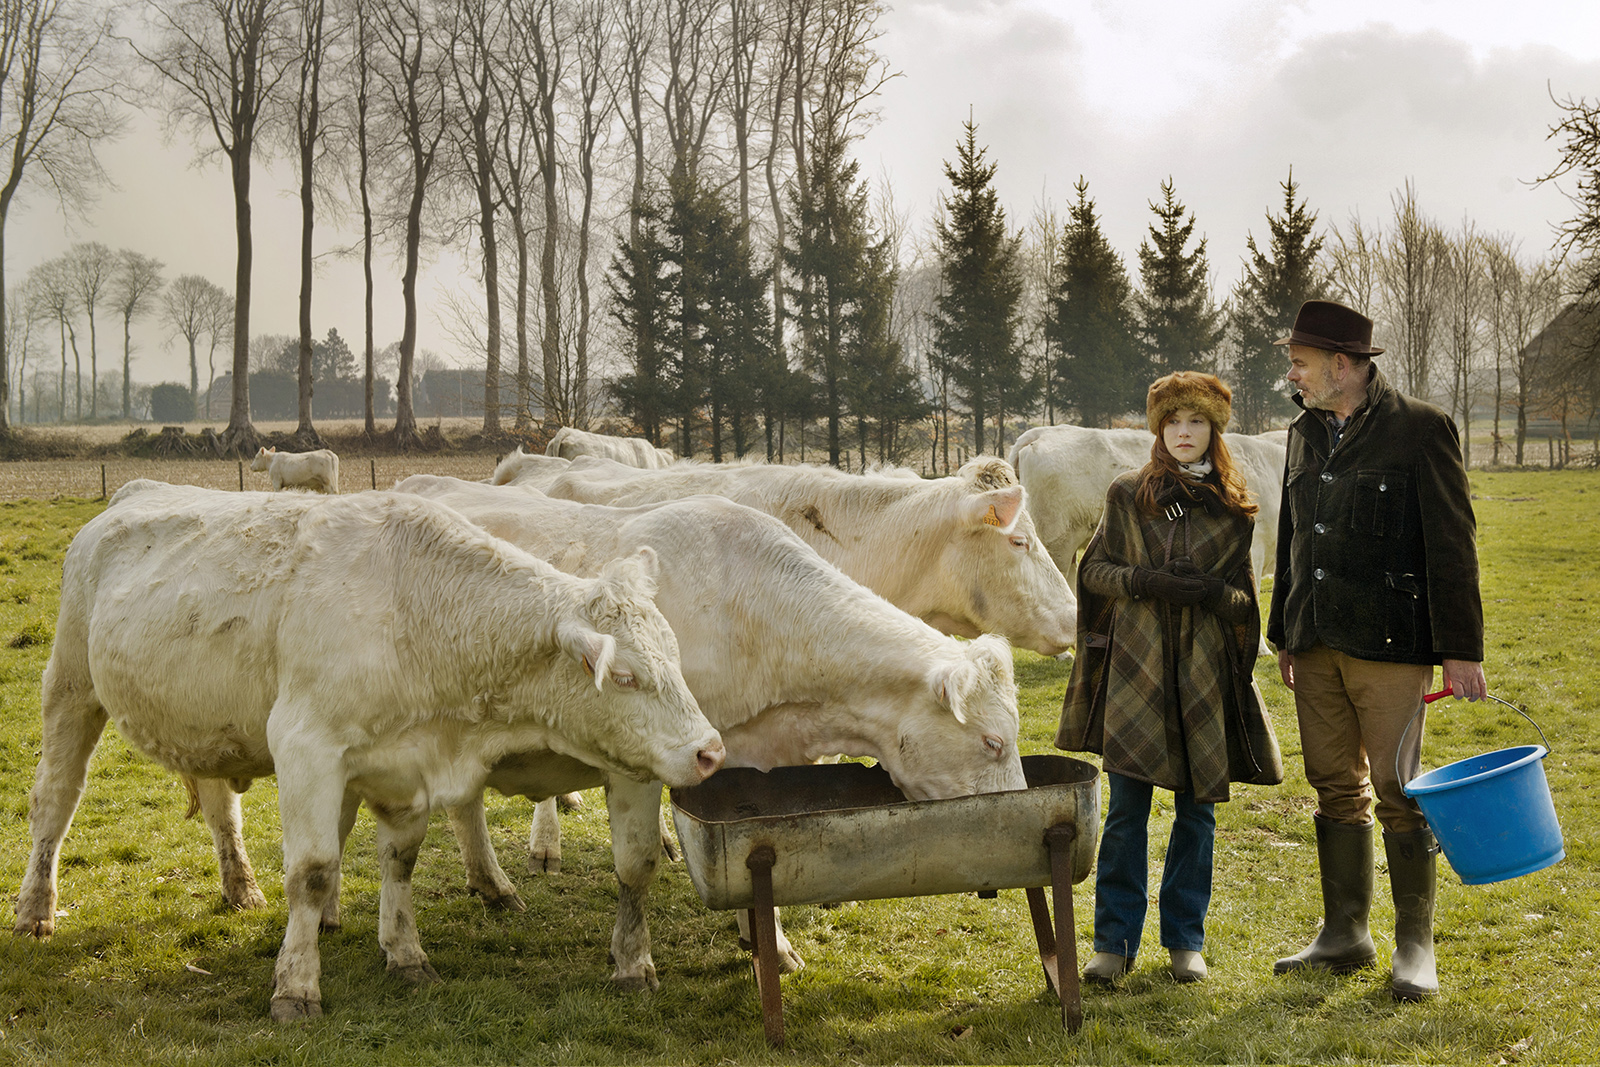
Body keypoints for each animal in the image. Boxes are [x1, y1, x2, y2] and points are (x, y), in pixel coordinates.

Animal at [10, 483, 726, 1017]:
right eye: (625, 676)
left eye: (674, 655)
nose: (709, 750)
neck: (418, 615)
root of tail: (134, 492)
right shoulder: (305, 746)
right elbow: (313, 869)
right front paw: (296, 986)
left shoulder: (404, 765)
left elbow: (399, 861)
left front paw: (405, 954)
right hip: (70, 687)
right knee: (55, 801)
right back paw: (35, 911)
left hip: (201, 721)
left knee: (219, 806)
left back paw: (241, 887)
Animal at [388, 476, 1024, 979]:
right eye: (992, 742)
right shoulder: (647, 755)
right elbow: (635, 863)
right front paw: (633, 961)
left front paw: (765, 941)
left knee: (463, 803)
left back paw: (490, 885)